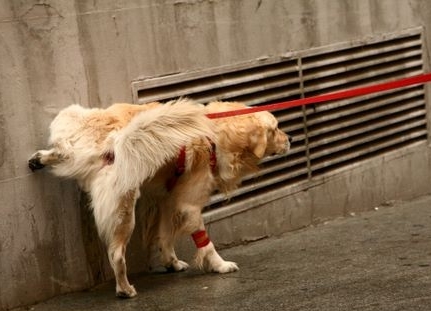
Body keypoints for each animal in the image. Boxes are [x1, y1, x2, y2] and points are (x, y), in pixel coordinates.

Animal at [27, 98, 290, 298]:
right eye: (276, 128)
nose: (291, 139)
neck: (216, 135)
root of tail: (109, 143)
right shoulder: (189, 205)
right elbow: (205, 242)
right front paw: (220, 265)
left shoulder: (167, 201)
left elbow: (165, 237)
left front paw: (171, 263)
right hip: (124, 210)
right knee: (116, 255)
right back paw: (125, 289)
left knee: (61, 152)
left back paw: (40, 158)